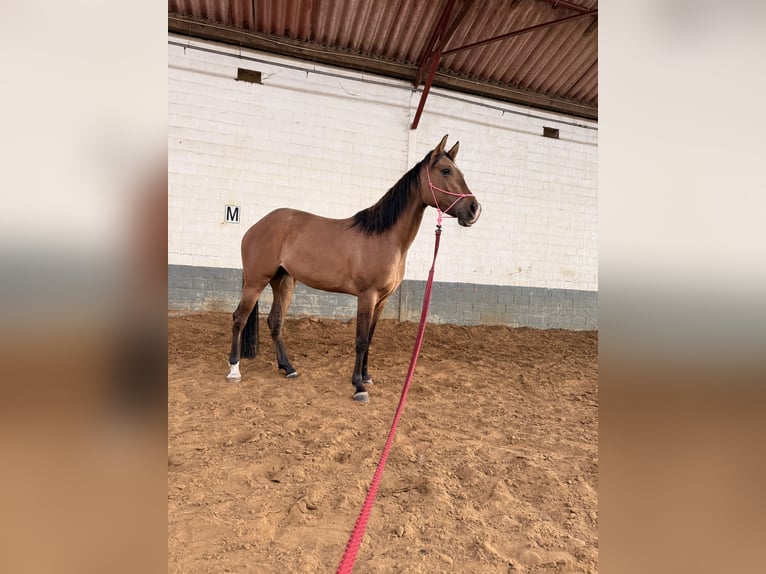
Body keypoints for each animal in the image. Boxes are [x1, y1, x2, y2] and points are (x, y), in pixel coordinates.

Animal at [226, 134, 481, 402]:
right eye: (445, 170)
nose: (474, 209)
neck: (384, 237)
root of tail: (257, 226)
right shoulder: (367, 295)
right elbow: (360, 339)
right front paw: (359, 386)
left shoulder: (382, 300)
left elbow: (369, 338)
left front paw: (367, 376)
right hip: (256, 281)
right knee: (239, 318)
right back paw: (234, 369)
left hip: (283, 282)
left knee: (275, 322)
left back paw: (288, 368)